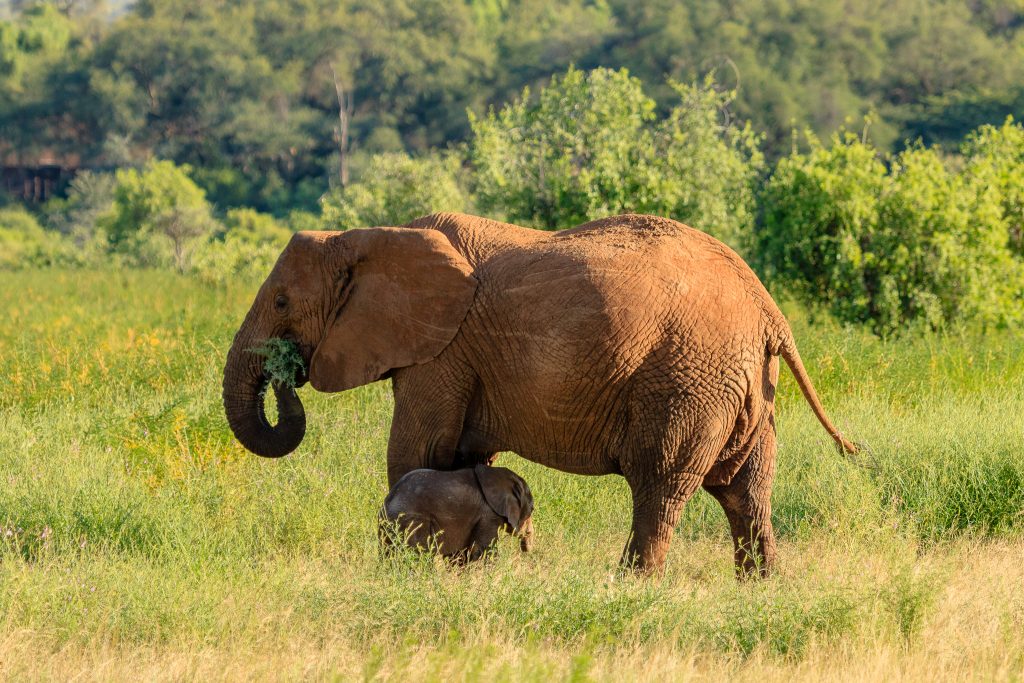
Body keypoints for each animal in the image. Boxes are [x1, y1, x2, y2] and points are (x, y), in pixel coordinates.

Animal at [378, 466, 536, 565]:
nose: (526, 551)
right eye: (532, 509)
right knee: (420, 555)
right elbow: (484, 550)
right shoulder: (488, 514)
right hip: (412, 521)